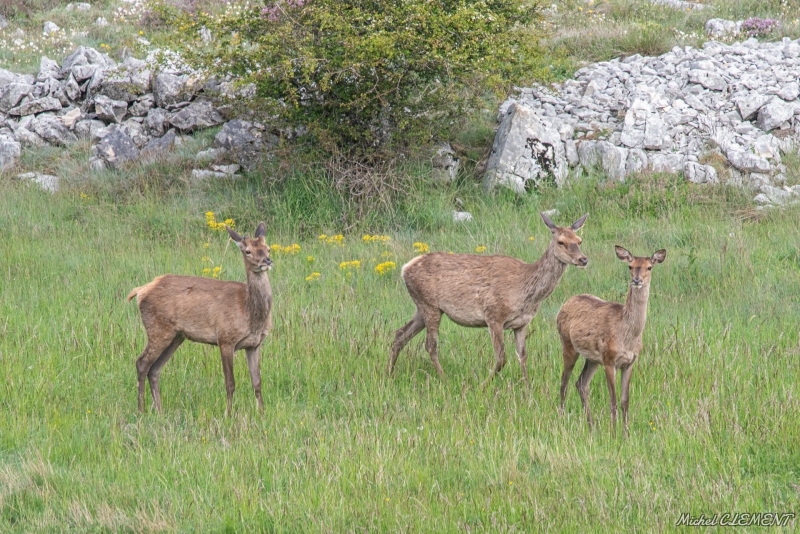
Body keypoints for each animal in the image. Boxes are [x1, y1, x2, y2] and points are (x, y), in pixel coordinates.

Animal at [126, 224, 274, 416]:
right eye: (248, 251)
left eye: (268, 248)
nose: (267, 261)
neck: (250, 313)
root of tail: (140, 291)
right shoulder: (225, 338)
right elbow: (230, 383)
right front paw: (228, 414)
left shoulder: (254, 345)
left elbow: (257, 382)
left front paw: (262, 413)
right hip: (158, 328)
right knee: (142, 363)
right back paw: (141, 410)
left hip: (176, 336)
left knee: (155, 369)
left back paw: (159, 410)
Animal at [390, 211, 592, 388]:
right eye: (561, 242)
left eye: (579, 240)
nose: (583, 259)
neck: (526, 293)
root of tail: (405, 268)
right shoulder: (494, 315)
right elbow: (502, 358)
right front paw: (482, 386)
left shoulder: (522, 324)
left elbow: (523, 356)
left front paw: (527, 389)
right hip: (429, 304)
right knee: (430, 345)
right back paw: (444, 379)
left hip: (423, 307)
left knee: (400, 334)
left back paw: (389, 373)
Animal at [552, 247, 664, 436]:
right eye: (630, 266)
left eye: (649, 267)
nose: (637, 280)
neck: (627, 337)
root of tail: (564, 305)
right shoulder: (610, 360)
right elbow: (613, 400)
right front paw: (613, 433)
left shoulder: (629, 362)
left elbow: (625, 400)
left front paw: (625, 433)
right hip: (568, 344)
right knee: (564, 382)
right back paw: (561, 419)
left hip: (593, 359)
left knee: (581, 383)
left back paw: (591, 425)